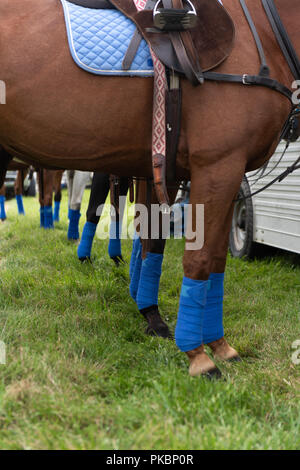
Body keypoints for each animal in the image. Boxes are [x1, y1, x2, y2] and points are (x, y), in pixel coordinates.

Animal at [0, 0, 298, 376]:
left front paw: (218, 345)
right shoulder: (217, 165)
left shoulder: (221, 173)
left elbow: (206, 257)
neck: (261, 32)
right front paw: (198, 355)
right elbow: (197, 258)